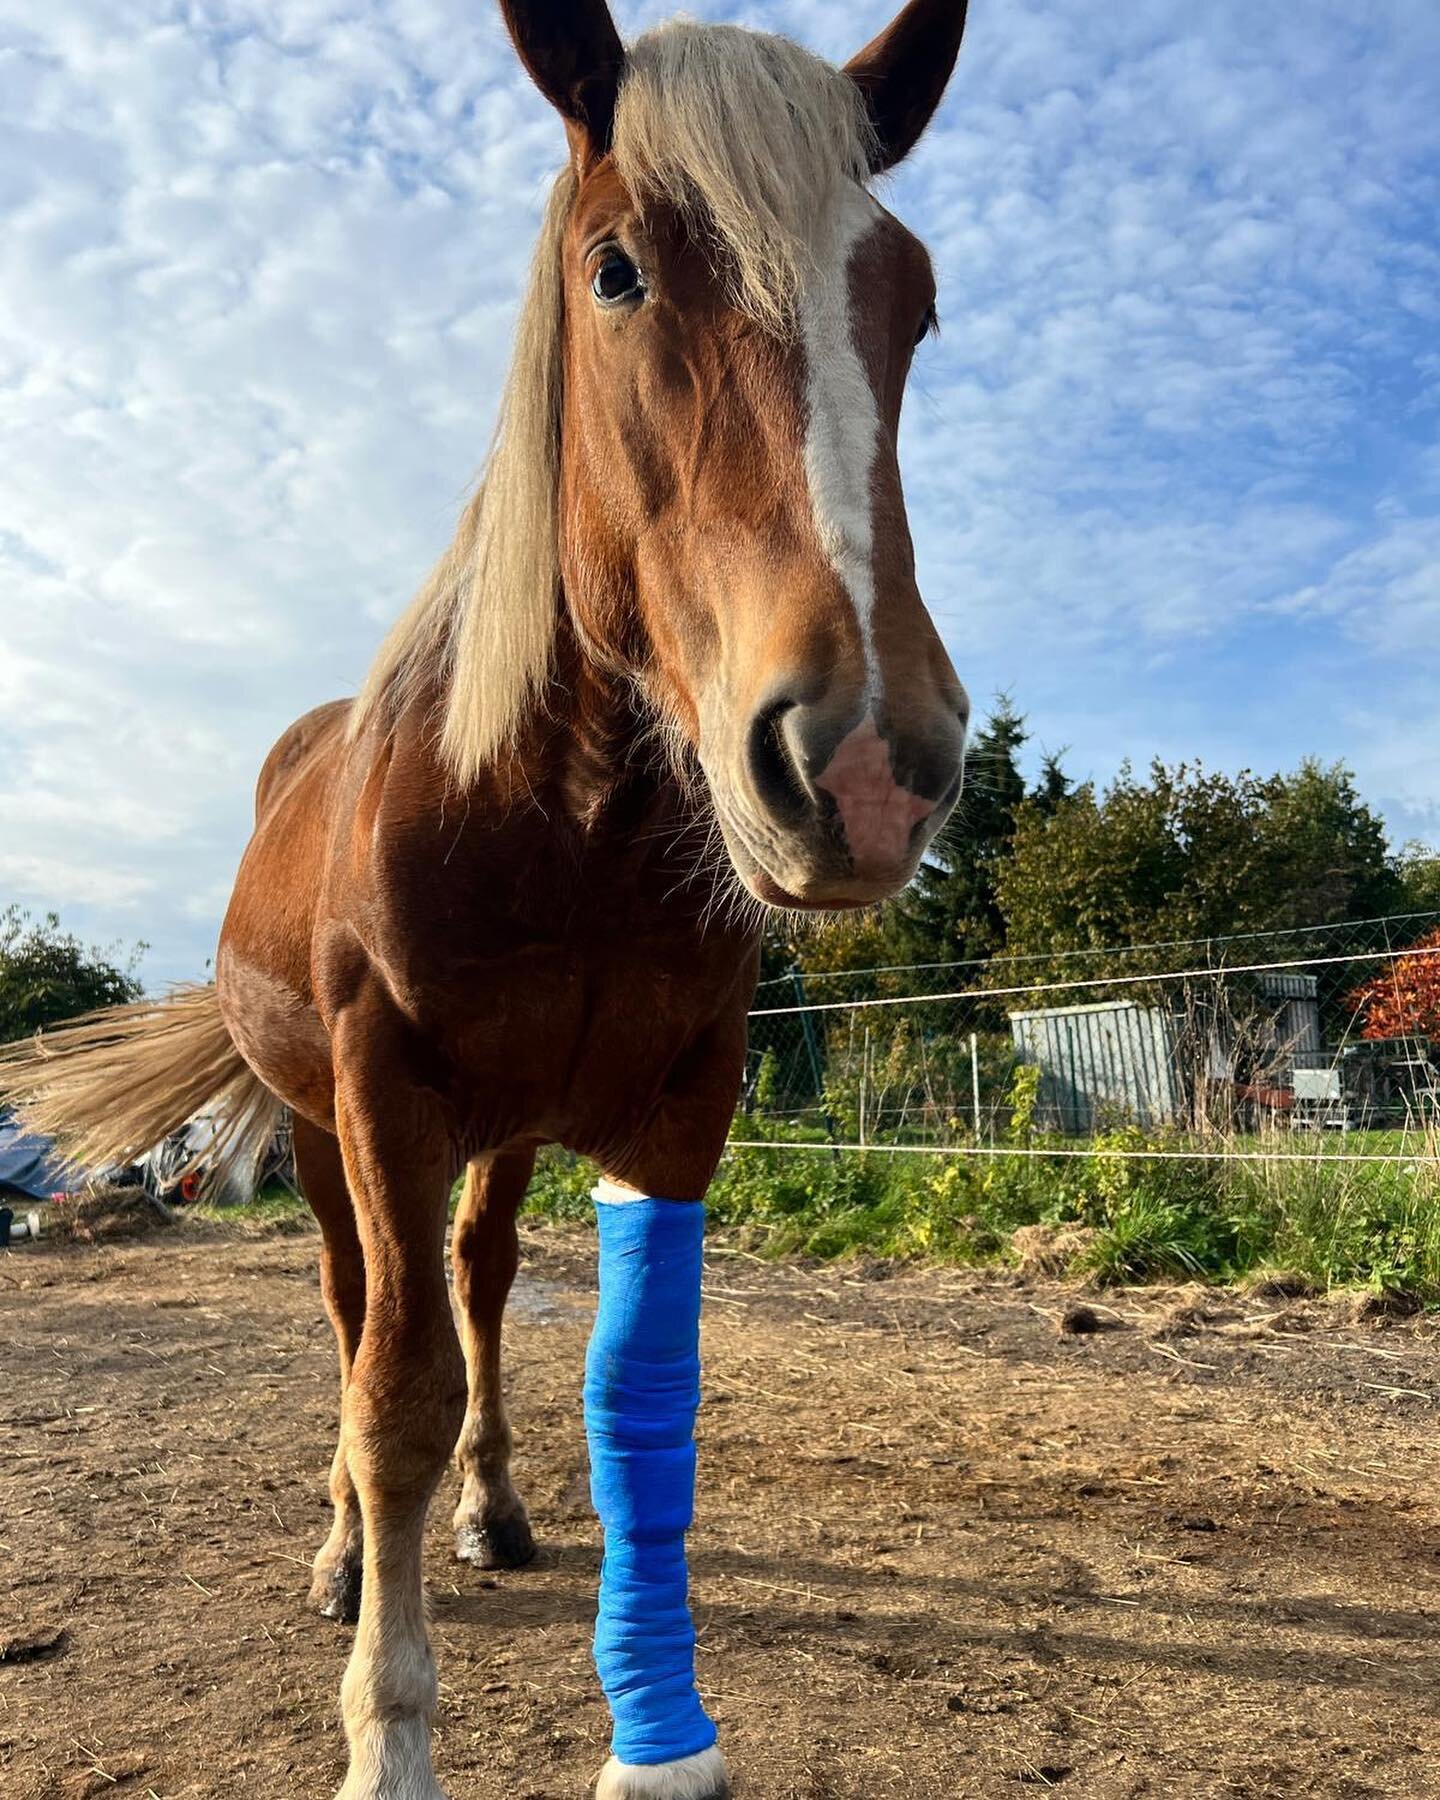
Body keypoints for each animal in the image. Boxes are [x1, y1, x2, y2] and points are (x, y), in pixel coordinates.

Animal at [5, 7, 972, 1792]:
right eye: (616, 272)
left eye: (913, 299)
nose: (869, 761)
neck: (563, 814)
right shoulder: (386, 1092)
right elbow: (391, 1394)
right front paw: (387, 1729)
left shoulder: (679, 1104)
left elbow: (640, 1388)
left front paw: (658, 1744)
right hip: (325, 1131)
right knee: (358, 1314)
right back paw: (341, 1549)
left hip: (506, 1135)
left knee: (478, 1285)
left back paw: (498, 1509)